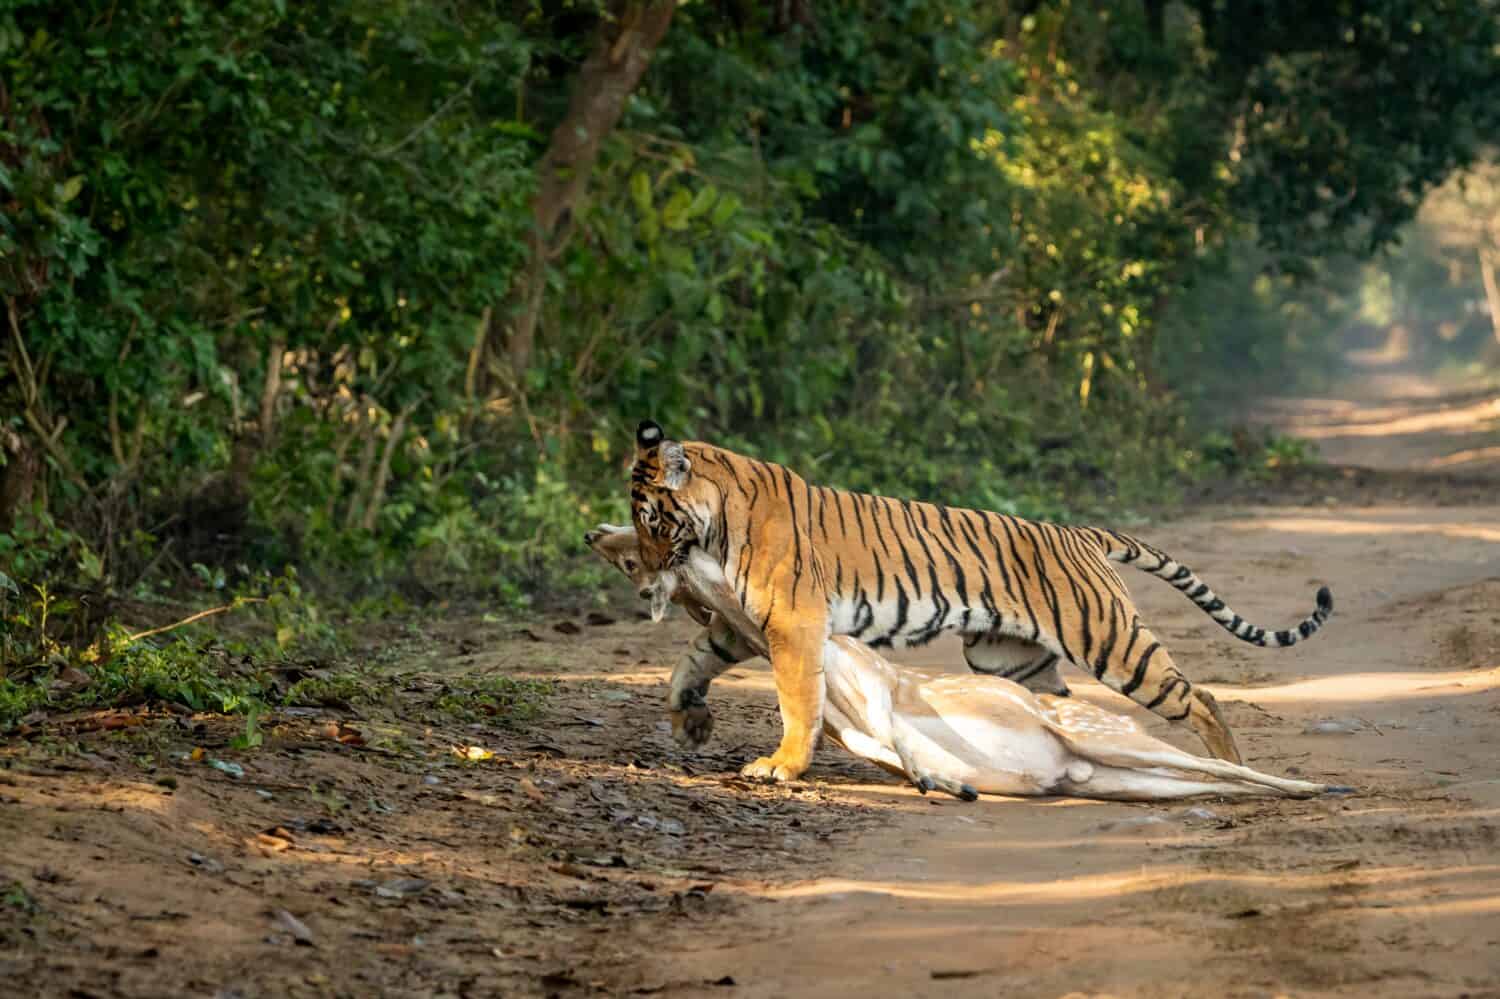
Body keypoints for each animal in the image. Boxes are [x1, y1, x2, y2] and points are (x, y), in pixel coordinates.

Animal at [627, 417, 1332, 780]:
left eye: (652, 521)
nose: (644, 578)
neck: (715, 520)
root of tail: (1082, 532)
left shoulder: (793, 623)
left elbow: (797, 700)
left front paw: (781, 766)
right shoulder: (743, 622)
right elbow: (688, 663)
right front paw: (689, 721)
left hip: (1114, 643)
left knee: (1200, 697)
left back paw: (1231, 762)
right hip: (1009, 657)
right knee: (1061, 709)